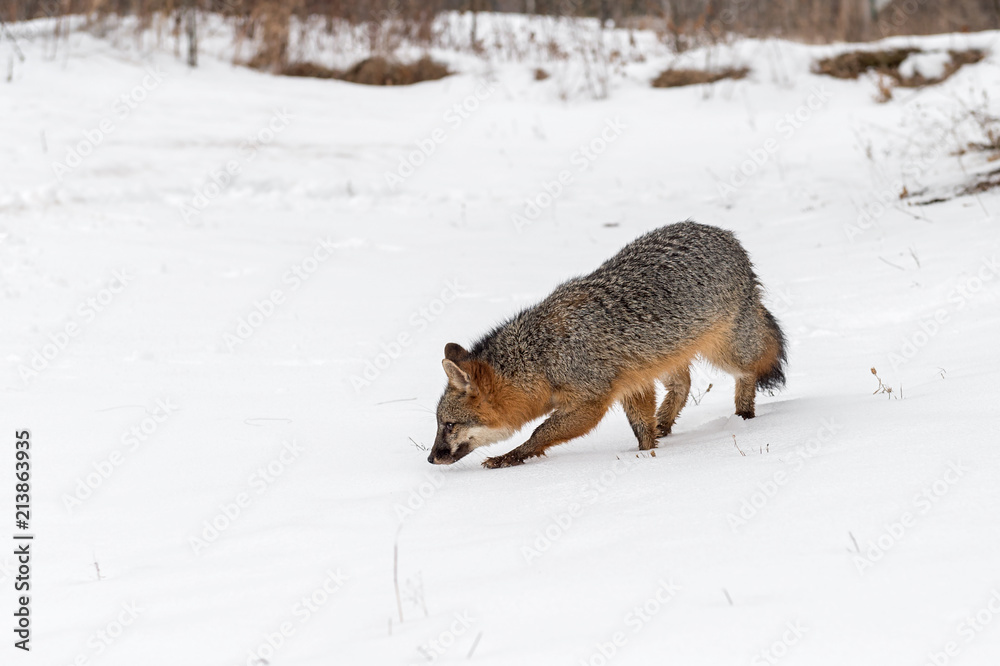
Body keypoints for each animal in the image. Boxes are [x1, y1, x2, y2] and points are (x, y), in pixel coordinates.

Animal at [428, 221, 787, 469]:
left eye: (448, 425)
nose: (431, 458)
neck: (543, 355)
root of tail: (721, 232)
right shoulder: (632, 384)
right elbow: (641, 427)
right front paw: (648, 452)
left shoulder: (592, 401)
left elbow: (540, 432)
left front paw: (509, 458)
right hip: (665, 358)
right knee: (682, 385)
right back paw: (665, 424)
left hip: (726, 352)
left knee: (747, 373)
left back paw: (744, 416)